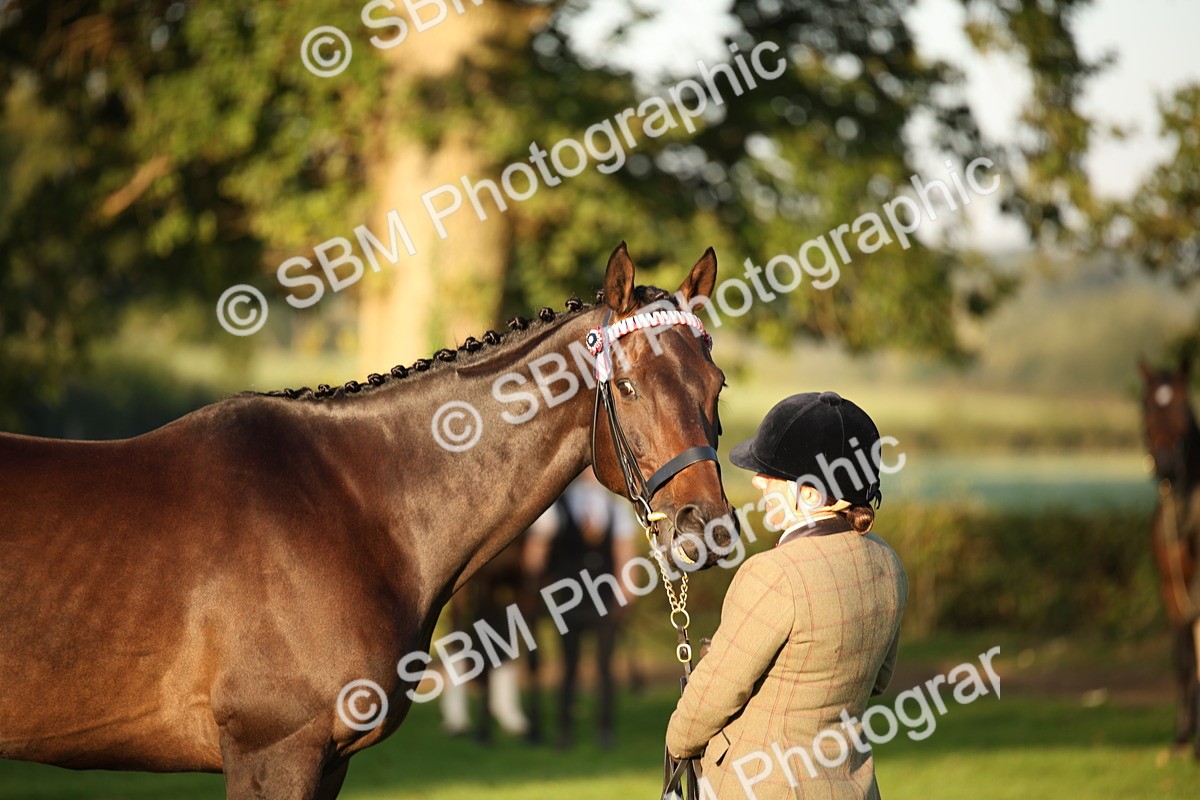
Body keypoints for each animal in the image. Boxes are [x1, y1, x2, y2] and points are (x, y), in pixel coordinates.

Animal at [0, 243, 736, 799]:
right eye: (630, 387)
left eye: (717, 385)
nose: (704, 530)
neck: (351, 506)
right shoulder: (274, 753)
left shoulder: (328, 762)